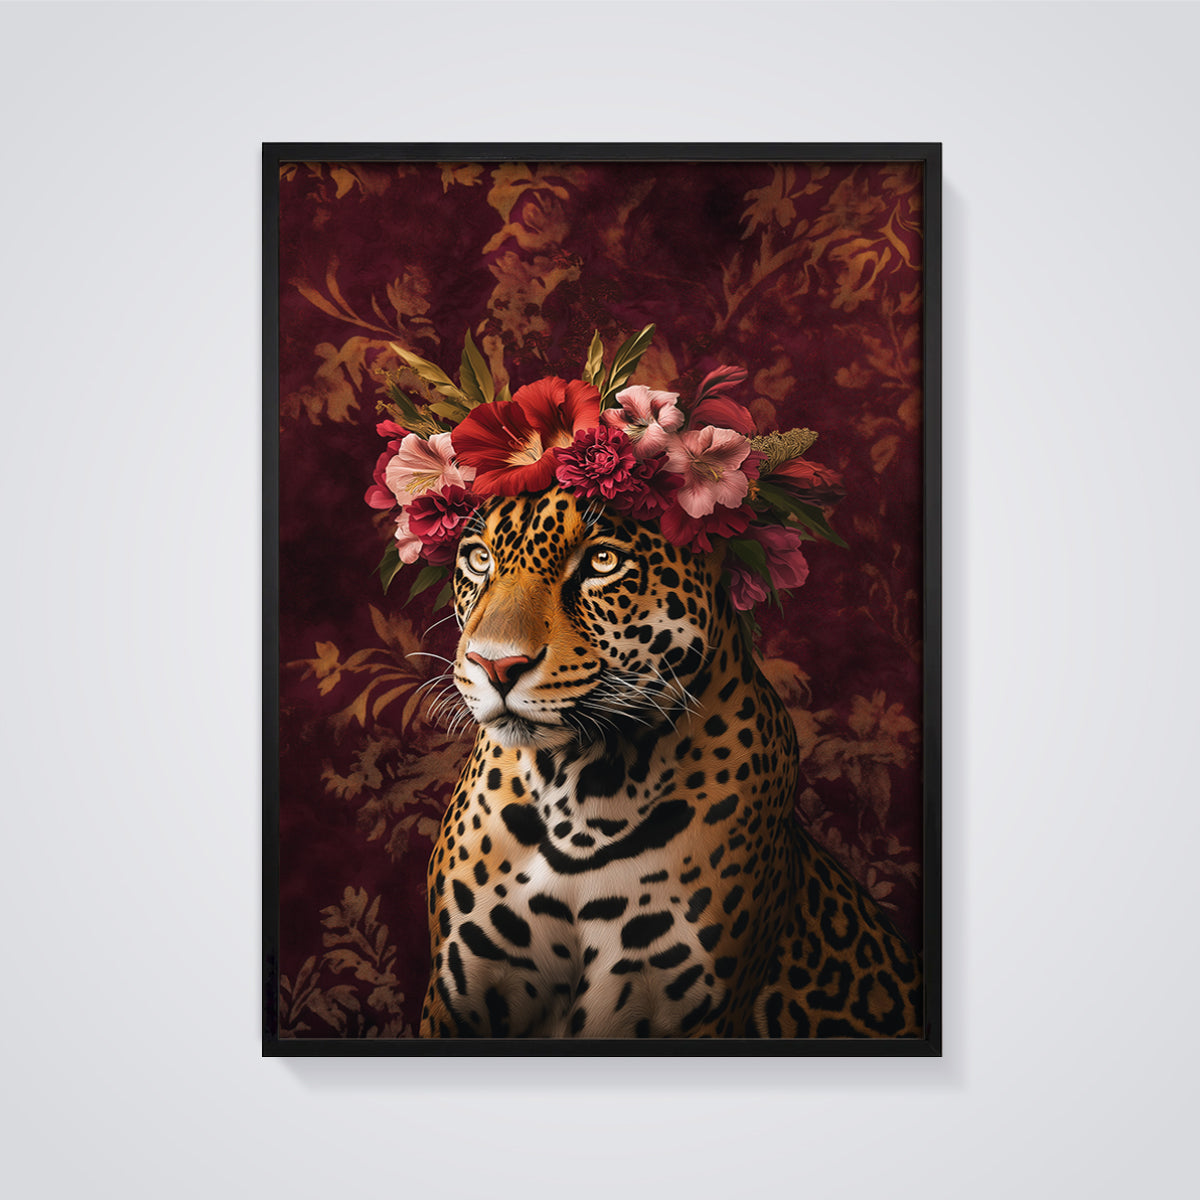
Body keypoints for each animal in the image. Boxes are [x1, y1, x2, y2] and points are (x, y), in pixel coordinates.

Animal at [418, 487, 922, 1038]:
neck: (581, 795)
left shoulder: (699, 1016)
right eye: (479, 559)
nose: (494, 665)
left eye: (602, 561)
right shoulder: (455, 1000)